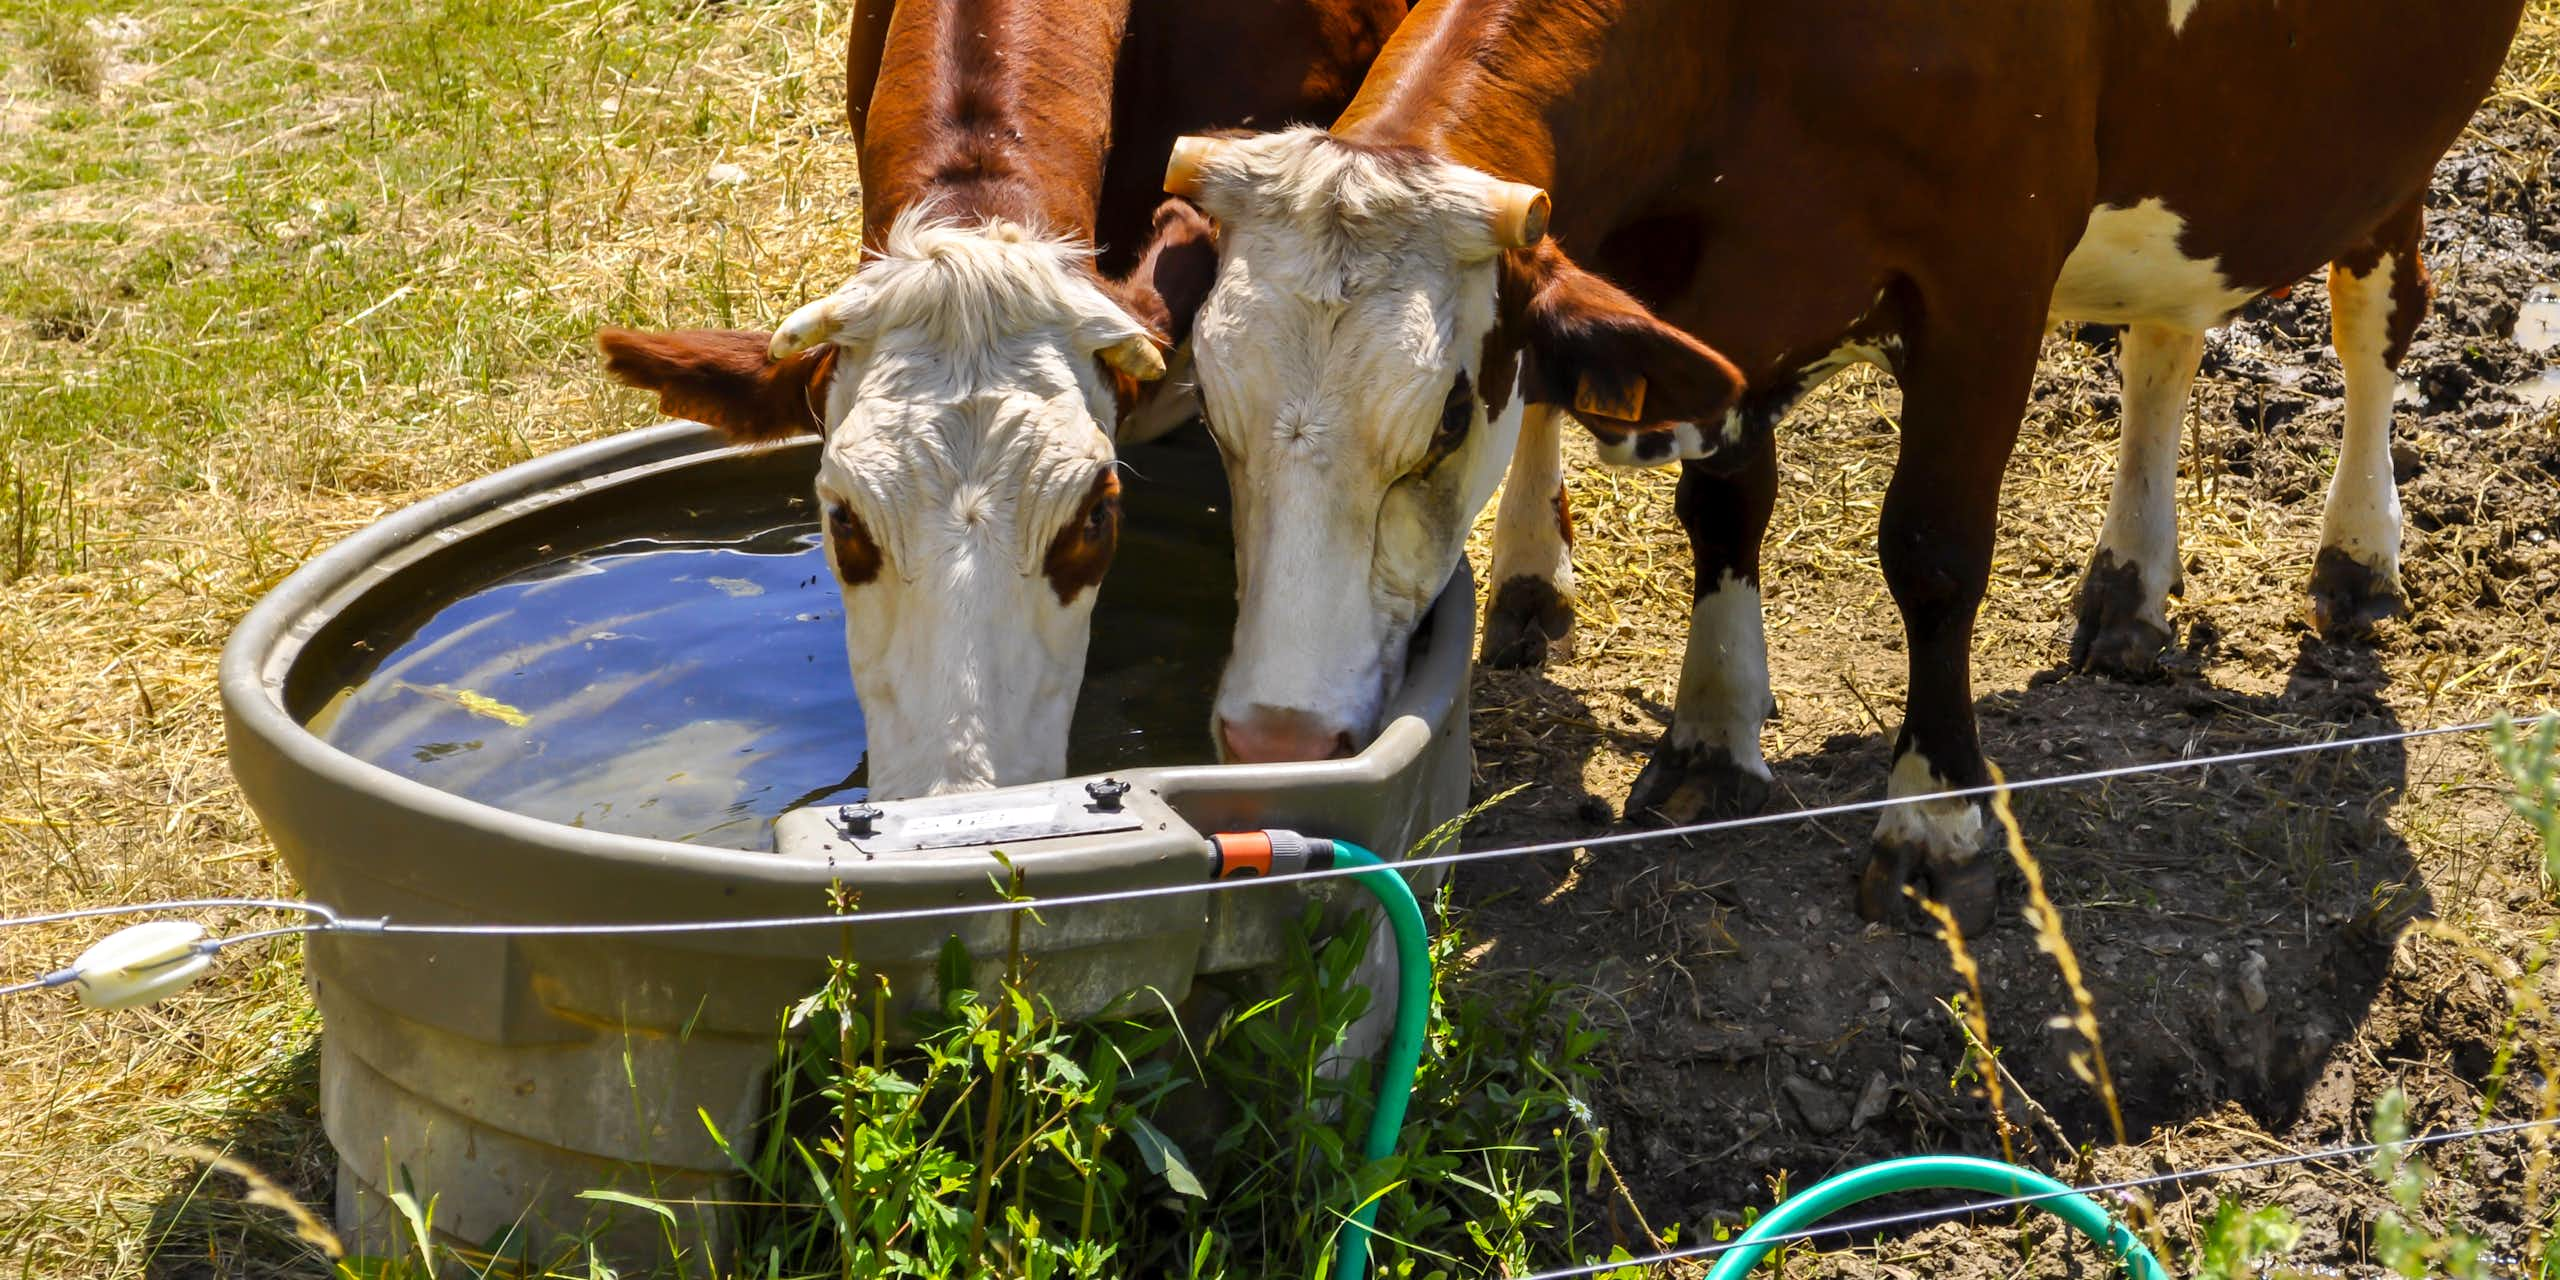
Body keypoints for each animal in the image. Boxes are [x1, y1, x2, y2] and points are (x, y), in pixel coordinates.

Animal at [1162, 0, 2519, 926]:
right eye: (1213, 413)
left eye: (1447, 419)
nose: (1275, 735)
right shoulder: (1717, 283)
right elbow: (1722, 505)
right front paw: (1710, 737)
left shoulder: (1989, 259)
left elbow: (1933, 549)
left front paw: (1935, 814)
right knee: (2164, 333)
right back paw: (2129, 584)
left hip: (2381, 141)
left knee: (2376, 312)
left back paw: (2356, 557)